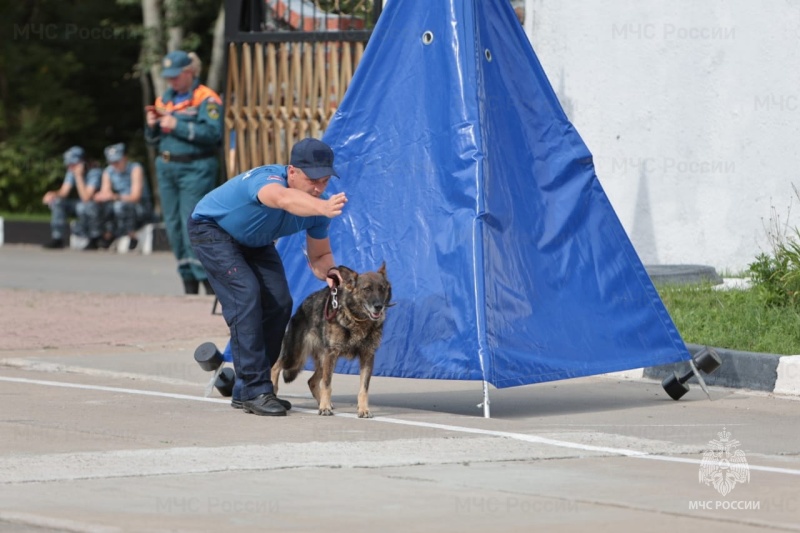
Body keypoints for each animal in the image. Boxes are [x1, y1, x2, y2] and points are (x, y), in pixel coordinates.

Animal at [270, 262, 392, 416]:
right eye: (367, 289)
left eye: (382, 289)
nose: (379, 307)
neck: (356, 319)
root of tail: (302, 306)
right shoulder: (332, 354)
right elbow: (327, 384)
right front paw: (325, 407)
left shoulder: (367, 356)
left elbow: (364, 389)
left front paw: (363, 409)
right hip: (296, 358)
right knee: (275, 366)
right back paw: (274, 390)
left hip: (323, 361)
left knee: (312, 381)